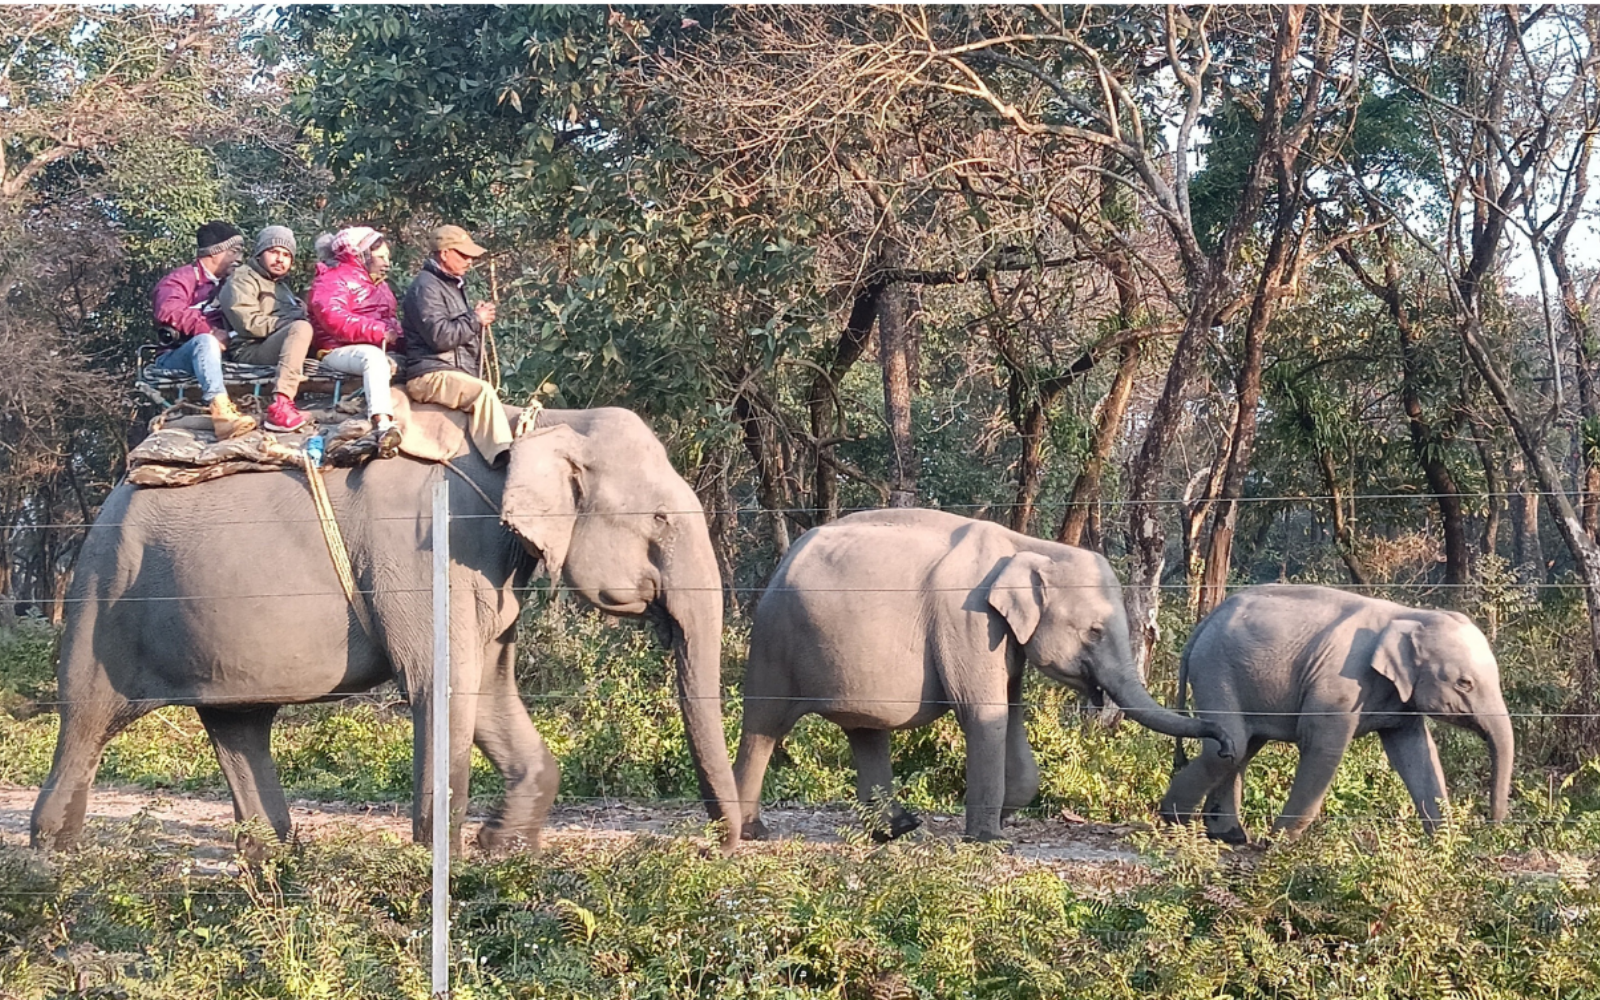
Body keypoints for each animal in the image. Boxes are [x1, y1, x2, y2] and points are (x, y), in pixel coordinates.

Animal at [30, 407, 742, 854]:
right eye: (660, 519)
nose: (721, 850)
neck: (530, 425)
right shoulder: (428, 549)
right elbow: (443, 684)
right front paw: (443, 865)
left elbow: (489, 690)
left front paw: (502, 850)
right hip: (105, 592)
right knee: (88, 717)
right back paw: (53, 861)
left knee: (239, 724)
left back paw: (276, 864)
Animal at [733, 508, 1236, 843]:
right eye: (1094, 631)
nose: (1227, 744)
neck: (1028, 545)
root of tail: (785, 559)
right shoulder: (968, 619)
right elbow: (983, 711)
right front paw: (989, 838)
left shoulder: (1003, 638)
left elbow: (1009, 712)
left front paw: (1004, 814)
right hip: (774, 638)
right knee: (764, 724)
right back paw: (750, 830)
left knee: (865, 732)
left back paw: (897, 828)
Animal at [1159, 584, 1513, 843]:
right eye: (1464, 683)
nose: (1490, 827)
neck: (1412, 615)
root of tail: (1206, 621)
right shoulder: (1340, 683)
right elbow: (1322, 747)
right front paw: (1276, 844)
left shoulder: (1401, 701)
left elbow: (1416, 753)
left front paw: (1444, 846)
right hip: (1216, 669)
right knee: (1228, 748)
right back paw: (1175, 822)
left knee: (1242, 748)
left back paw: (1229, 836)